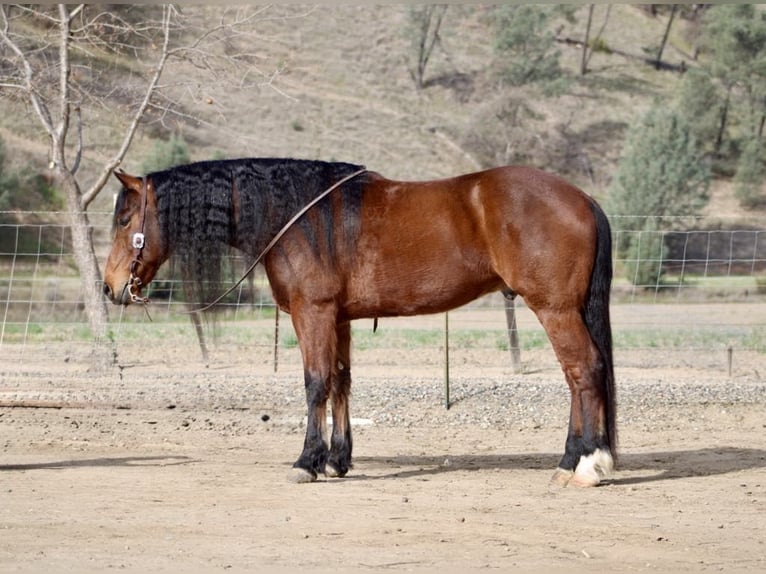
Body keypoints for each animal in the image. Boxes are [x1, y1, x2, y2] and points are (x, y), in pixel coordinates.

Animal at [103, 160, 616, 488]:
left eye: (125, 219)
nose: (111, 287)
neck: (297, 217)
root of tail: (583, 199)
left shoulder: (313, 313)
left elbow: (315, 383)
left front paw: (307, 461)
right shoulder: (339, 317)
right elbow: (340, 382)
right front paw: (337, 459)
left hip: (554, 309)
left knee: (584, 371)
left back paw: (588, 465)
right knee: (578, 377)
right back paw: (571, 459)